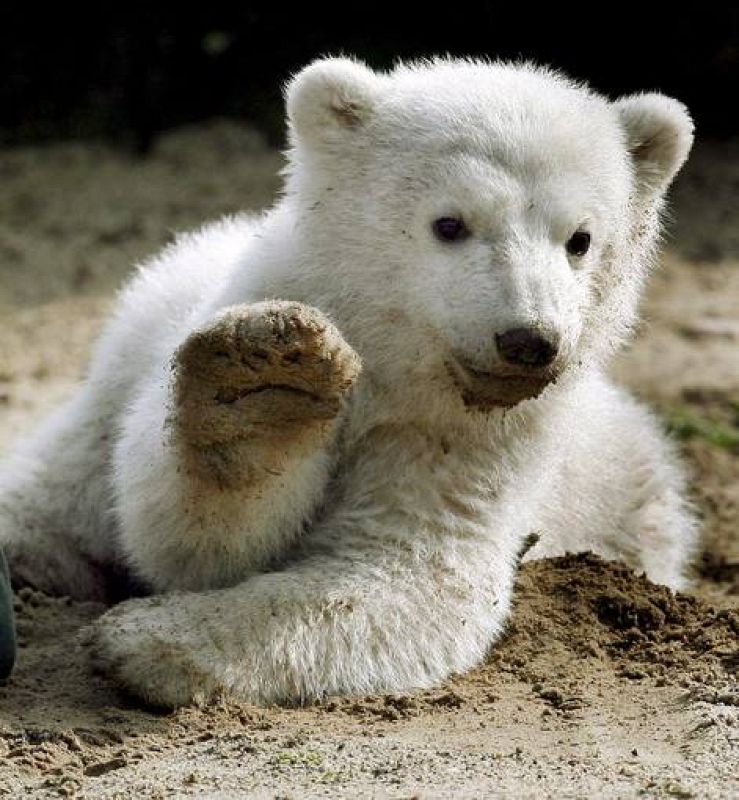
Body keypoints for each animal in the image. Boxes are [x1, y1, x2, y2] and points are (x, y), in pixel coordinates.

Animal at [0, 57, 696, 708]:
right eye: (449, 223)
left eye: (581, 239)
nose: (528, 341)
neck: (392, 369)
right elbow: (180, 526)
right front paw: (258, 392)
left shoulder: (464, 440)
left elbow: (408, 571)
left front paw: (148, 638)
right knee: (60, 491)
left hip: (636, 513)